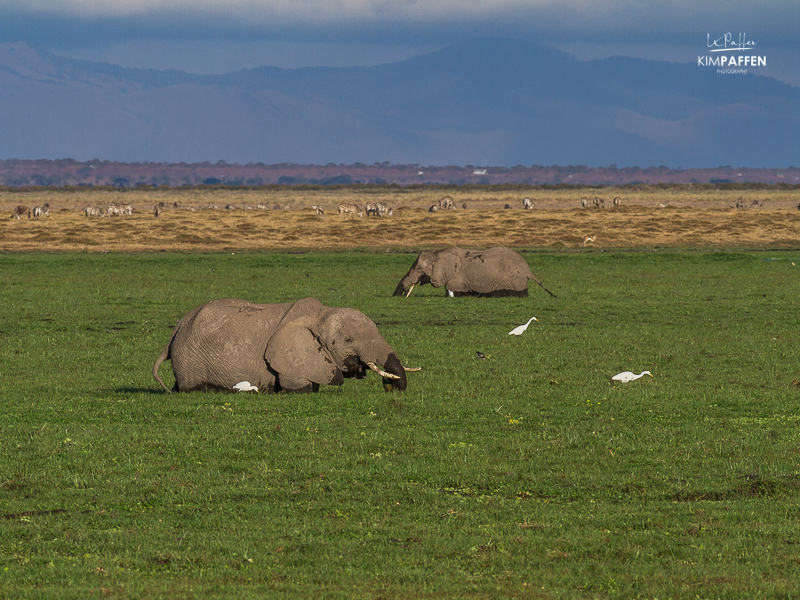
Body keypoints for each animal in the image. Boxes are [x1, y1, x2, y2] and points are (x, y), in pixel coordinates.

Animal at [152, 296, 412, 394]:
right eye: (348, 341)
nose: (390, 387)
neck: (320, 314)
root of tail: (177, 328)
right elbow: (298, 387)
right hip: (191, 359)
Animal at [394, 246, 556, 298]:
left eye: (419, 269)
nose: (403, 294)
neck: (439, 252)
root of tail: (528, 270)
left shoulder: (457, 277)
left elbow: (452, 292)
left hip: (514, 280)